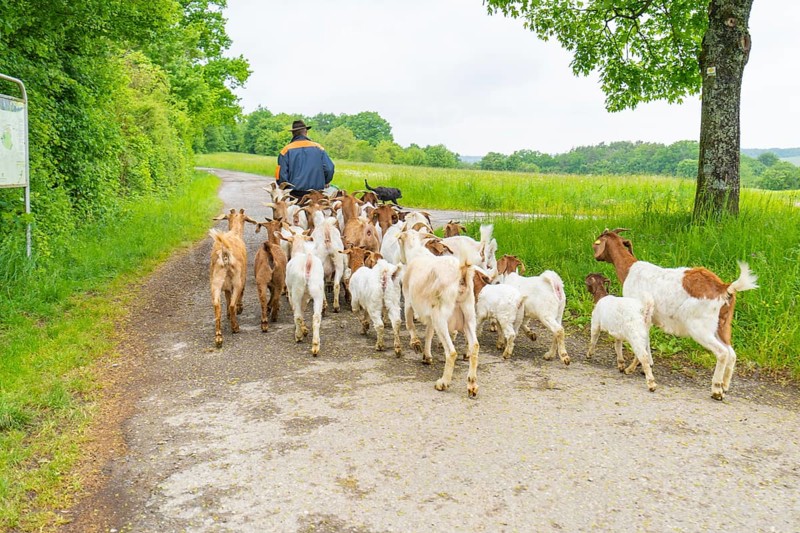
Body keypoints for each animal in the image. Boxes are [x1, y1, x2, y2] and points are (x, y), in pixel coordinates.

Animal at [592, 228, 757, 400]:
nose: (595, 257)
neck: (629, 270)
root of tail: (724, 288)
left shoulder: (640, 314)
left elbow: (644, 340)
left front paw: (638, 367)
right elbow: (647, 339)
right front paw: (647, 365)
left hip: (700, 327)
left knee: (722, 353)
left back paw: (716, 390)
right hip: (722, 325)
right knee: (732, 353)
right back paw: (724, 387)